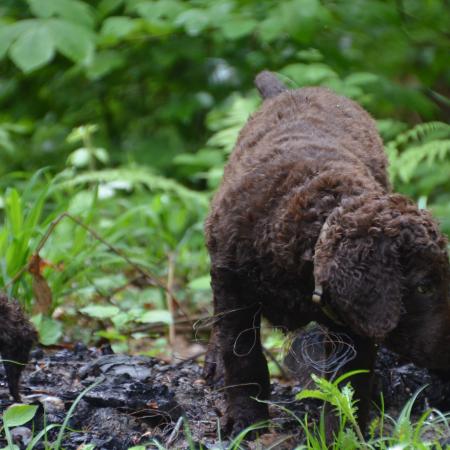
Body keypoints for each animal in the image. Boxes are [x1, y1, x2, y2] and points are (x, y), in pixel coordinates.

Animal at [204, 71, 450, 436]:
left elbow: (350, 381)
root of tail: (293, 91)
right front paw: (246, 420)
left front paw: (344, 433)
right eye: (423, 287)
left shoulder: (353, 318)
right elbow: (241, 354)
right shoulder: (232, 283)